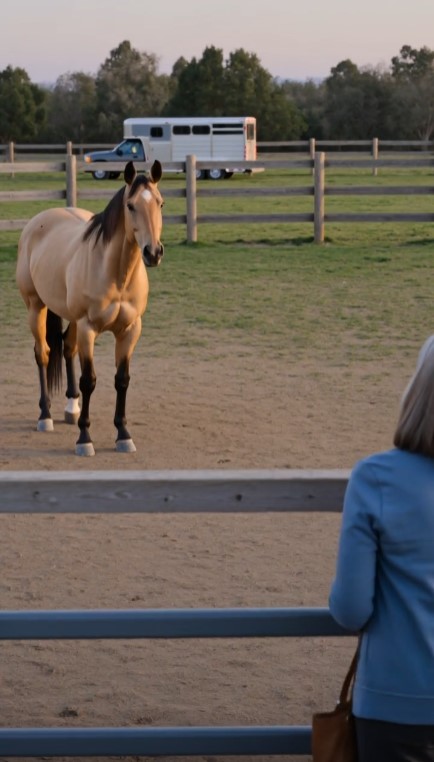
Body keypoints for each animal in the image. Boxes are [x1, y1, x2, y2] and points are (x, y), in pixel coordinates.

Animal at [16, 160, 164, 457]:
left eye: (160, 203)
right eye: (131, 206)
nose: (153, 253)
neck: (116, 274)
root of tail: (38, 222)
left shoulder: (130, 330)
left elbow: (122, 379)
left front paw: (123, 435)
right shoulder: (89, 328)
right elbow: (89, 381)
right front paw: (85, 439)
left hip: (71, 318)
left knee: (67, 348)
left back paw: (71, 408)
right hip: (36, 307)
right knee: (43, 354)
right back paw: (45, 416)